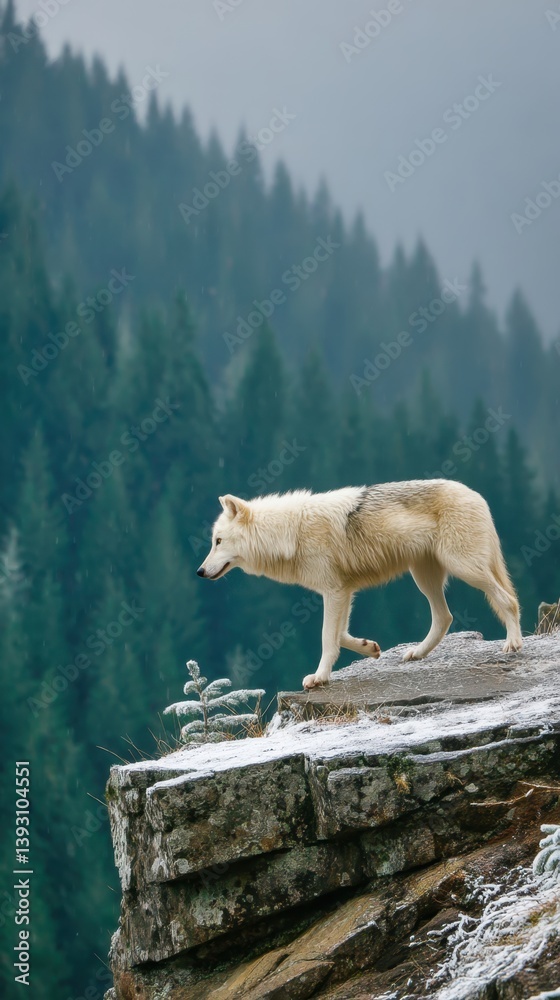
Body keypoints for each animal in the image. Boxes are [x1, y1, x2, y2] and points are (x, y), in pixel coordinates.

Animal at [197, 480, 523, 690]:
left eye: (218, 541)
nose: (199, 571)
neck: (291, 532)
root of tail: (476, 494)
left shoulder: (333, 592)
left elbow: (327, 637)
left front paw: (320, 678)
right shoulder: (343, 592)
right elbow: (340, 635)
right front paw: (370, 648)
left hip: (463, 568)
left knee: (507, 600)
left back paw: (513, 644)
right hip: (424, 577)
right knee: (445, 617)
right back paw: (417, 653)